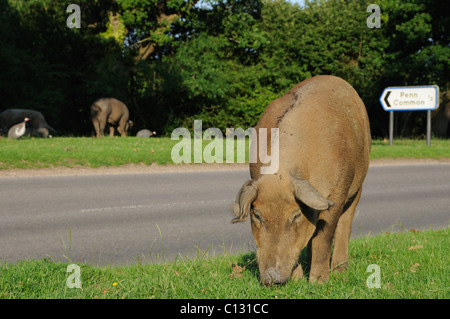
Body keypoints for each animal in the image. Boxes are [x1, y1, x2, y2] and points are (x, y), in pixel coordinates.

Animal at [234, 76, 370, 286]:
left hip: (359, 184)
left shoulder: (337, 191)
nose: (271, 278)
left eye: (296, 215)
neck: (281, 174)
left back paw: (340, 271)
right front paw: (297, 282)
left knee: (344, 226)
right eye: (256, 215)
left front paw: (318, 282)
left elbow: (324, 236)